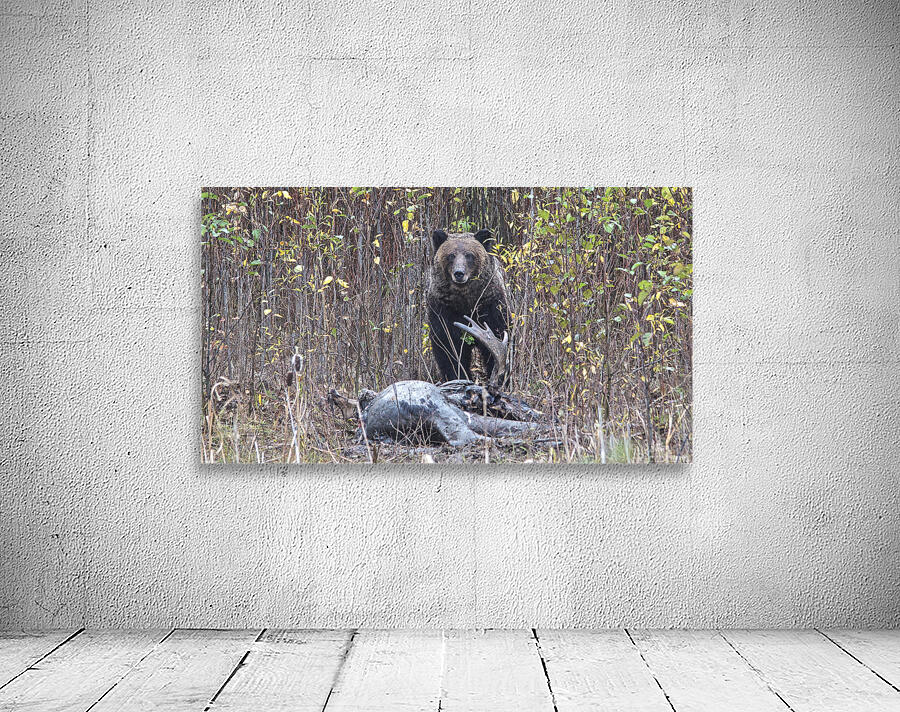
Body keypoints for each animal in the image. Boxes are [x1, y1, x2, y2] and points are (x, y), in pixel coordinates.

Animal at [426, 228, 510, 385]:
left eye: (469, 255)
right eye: (451, 255)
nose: (459, 273)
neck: (466, 303)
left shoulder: (491, 307)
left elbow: (498, 338)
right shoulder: (442, 312)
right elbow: (449, 352)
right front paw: (458, 376)